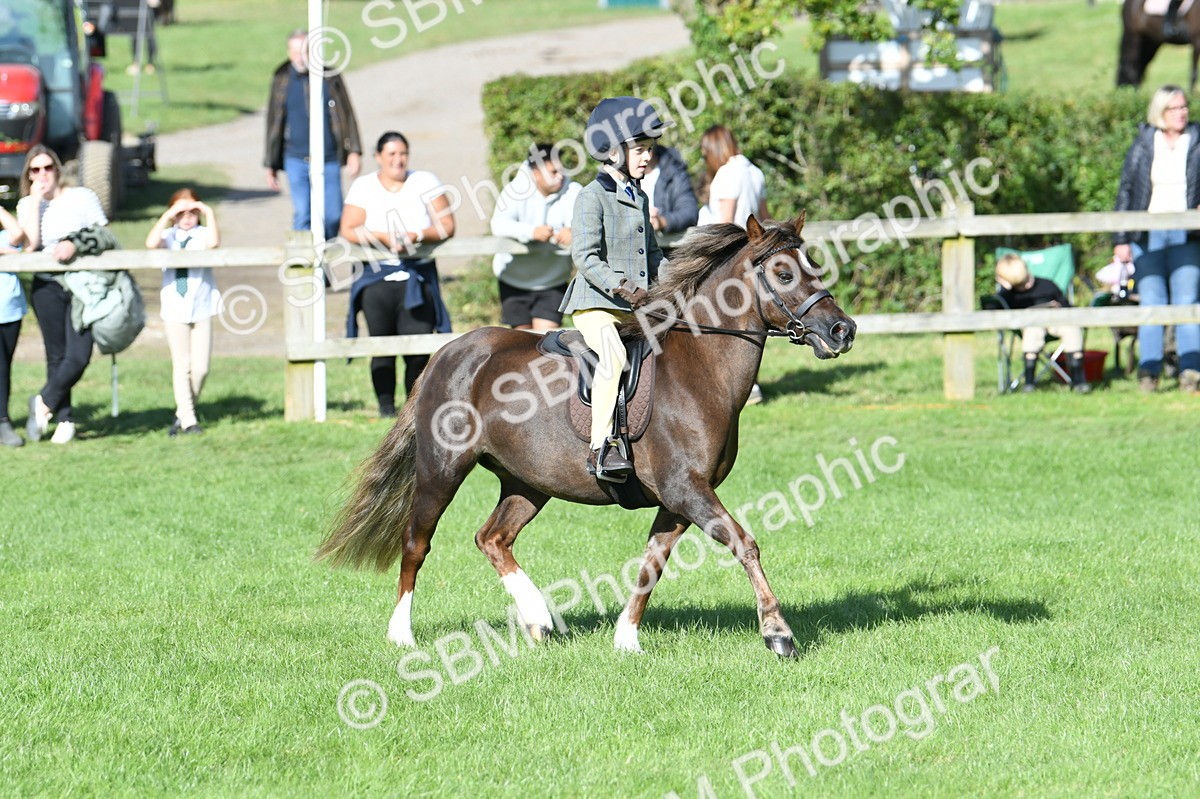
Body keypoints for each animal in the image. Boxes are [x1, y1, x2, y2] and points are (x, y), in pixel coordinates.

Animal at [316, 213, 857, 658]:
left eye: (812, 265)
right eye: (784, 274)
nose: (842, 330)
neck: (699, 368)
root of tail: (447, 353)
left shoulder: (680, 499)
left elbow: (651, 564)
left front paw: (626, 640)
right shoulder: (687, 489)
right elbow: (745, 544)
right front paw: (778, 634)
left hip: (528, 482)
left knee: (492, 538)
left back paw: (538, 619)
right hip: (441, 471)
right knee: (417, 543)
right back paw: (402, 634)